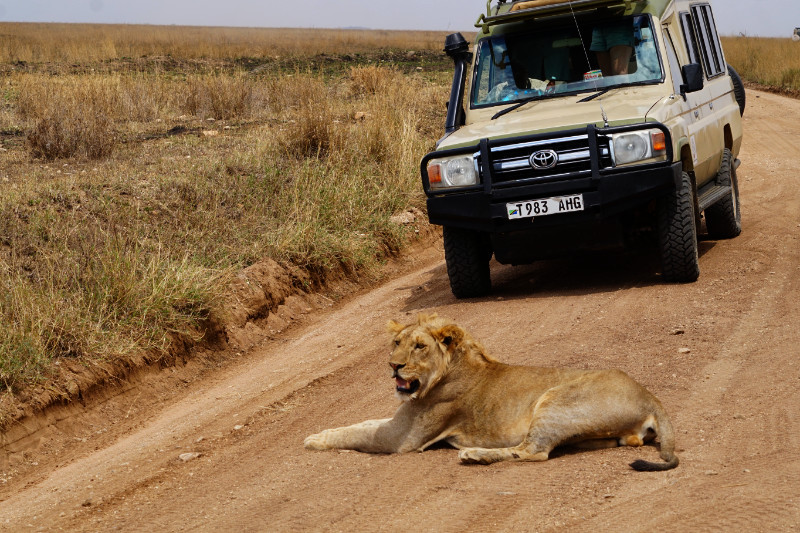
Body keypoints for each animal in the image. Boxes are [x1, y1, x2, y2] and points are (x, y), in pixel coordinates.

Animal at [304, 314, 678, 470]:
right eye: (396, 343)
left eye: (420, 346)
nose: (393, 366)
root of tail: (650, 396)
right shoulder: (400, 421)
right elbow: (361, 423)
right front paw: (321, 432)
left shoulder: (402, 439)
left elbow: (359, 434)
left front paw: (313, 441)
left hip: (553, 400)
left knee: (533, 452)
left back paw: (475, 455)